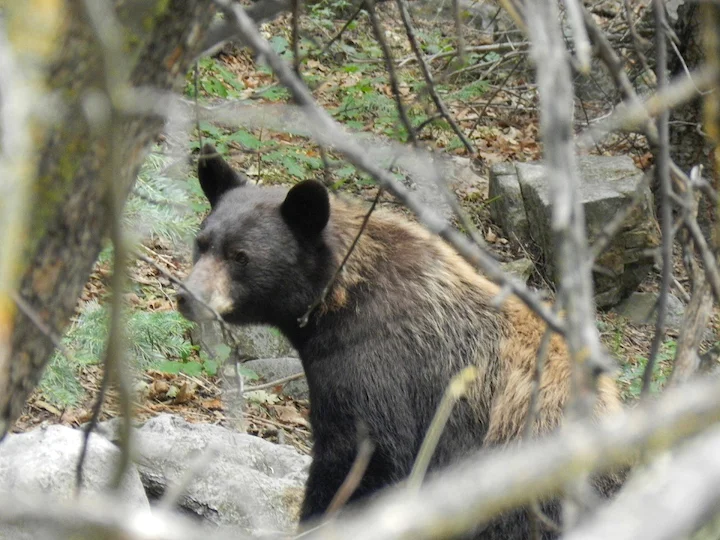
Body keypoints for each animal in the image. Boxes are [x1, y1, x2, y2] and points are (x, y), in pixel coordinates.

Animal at [177, 144, 623, 539]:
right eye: (202, 243)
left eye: (241, 256)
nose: (188, 296)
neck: (342, 298)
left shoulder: (375, 366)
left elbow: (362, 458)